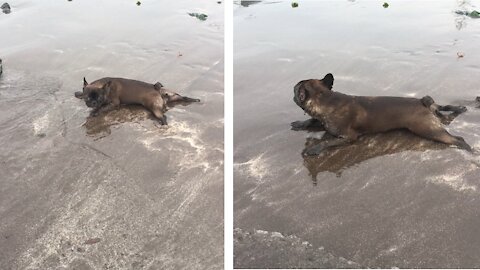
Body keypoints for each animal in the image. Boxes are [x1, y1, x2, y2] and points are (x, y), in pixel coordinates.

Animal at [290, 74, 470, 155]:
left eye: (296, 91)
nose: (293, 93)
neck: (326, 100)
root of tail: (421, 102)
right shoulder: (321, 119)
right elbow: (311, 121)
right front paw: (300, 123)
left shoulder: (348, 137)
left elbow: (327, 142)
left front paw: (314, 148)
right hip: (432, 116)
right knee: (443, 108)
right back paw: (459, 109)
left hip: (427, 129)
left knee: (455, 138)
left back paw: (465, 147)